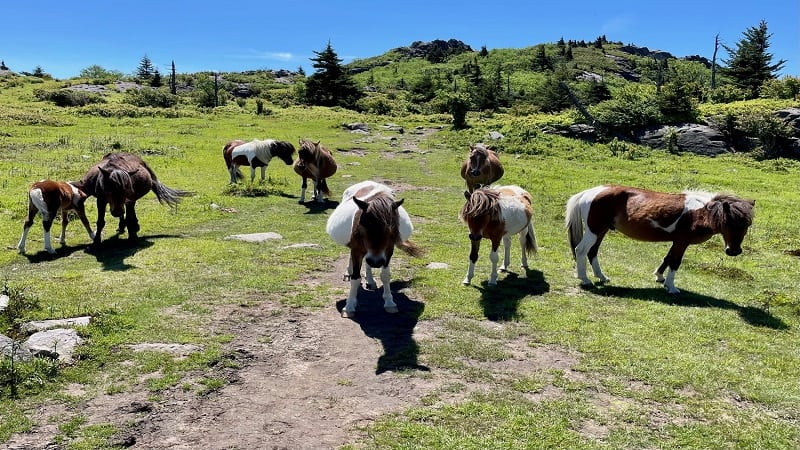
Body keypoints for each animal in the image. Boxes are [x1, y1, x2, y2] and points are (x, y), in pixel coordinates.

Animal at [326, 181, 424, 318]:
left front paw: (389, 302)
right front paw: (349, 306)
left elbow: (385, 276)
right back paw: (348, 273)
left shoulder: (388, 251)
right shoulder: (357, 250)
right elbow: (356, 278)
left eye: (391, 230)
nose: (376, 262)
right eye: (362, 227)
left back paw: (370, 280)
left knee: (367, 264)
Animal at [564, 185, 756, 294]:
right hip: (594, 230)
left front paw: (659, 277)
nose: (734, 251)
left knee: (592, 252)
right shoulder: (682, 241)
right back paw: (585, 279)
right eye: (728, 223)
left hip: (601, 230)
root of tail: (589, 193)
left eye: (747, 225)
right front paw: (672, 287)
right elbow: (675, 262)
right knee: (581, 250)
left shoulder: (677, 241)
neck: (699, 213)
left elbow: (667, 258)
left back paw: (602, 277)